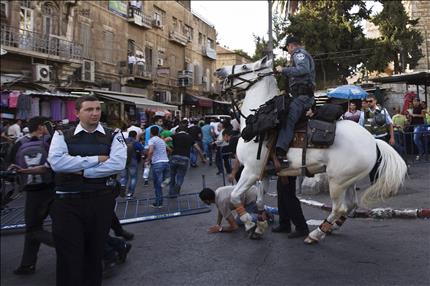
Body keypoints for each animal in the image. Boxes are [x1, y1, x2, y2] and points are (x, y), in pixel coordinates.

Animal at [215, 56, 406, 244]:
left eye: (245, 66)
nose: (219, 70)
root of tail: (372, 140)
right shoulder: (264, 173)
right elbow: (260, 201)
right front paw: (260, 226)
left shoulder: (250, 171)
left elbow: (234, 196)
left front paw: (249, 224)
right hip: (348, 180)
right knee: (351, 205)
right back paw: (331, 228)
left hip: (337, 182)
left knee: (339, 208)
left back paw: (316, 234)